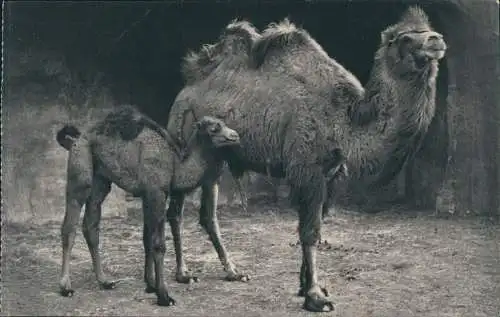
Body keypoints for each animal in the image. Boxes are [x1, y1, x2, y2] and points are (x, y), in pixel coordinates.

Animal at [55, 105, 241, 304]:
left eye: (224, 124)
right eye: (214, 128)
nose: (235, 136)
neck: (174, 164)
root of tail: (77, 137)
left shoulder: (151, 195)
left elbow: (147, 239)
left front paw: (150, 284)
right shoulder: (155, 193)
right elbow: (159, 244)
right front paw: (164, 296)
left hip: (101, 180)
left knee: (91, 225)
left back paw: (104, 281)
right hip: (80, 166)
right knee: (70, 225)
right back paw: (66, 287)